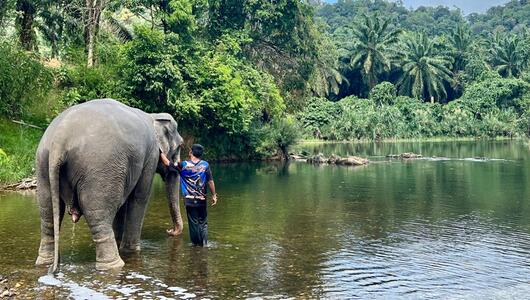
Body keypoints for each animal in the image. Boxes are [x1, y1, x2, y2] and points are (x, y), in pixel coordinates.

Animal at [34, 98, 184, 272]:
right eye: (180, 146)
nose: (170, 231)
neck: (153, 116)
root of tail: (60, 139)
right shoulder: (151, 156)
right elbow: (139, 197)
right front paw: (131, 250)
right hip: (99, 169)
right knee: (99, 216)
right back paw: (113, 265)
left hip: (43, 165)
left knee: (48, 215)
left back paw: (45, 262)